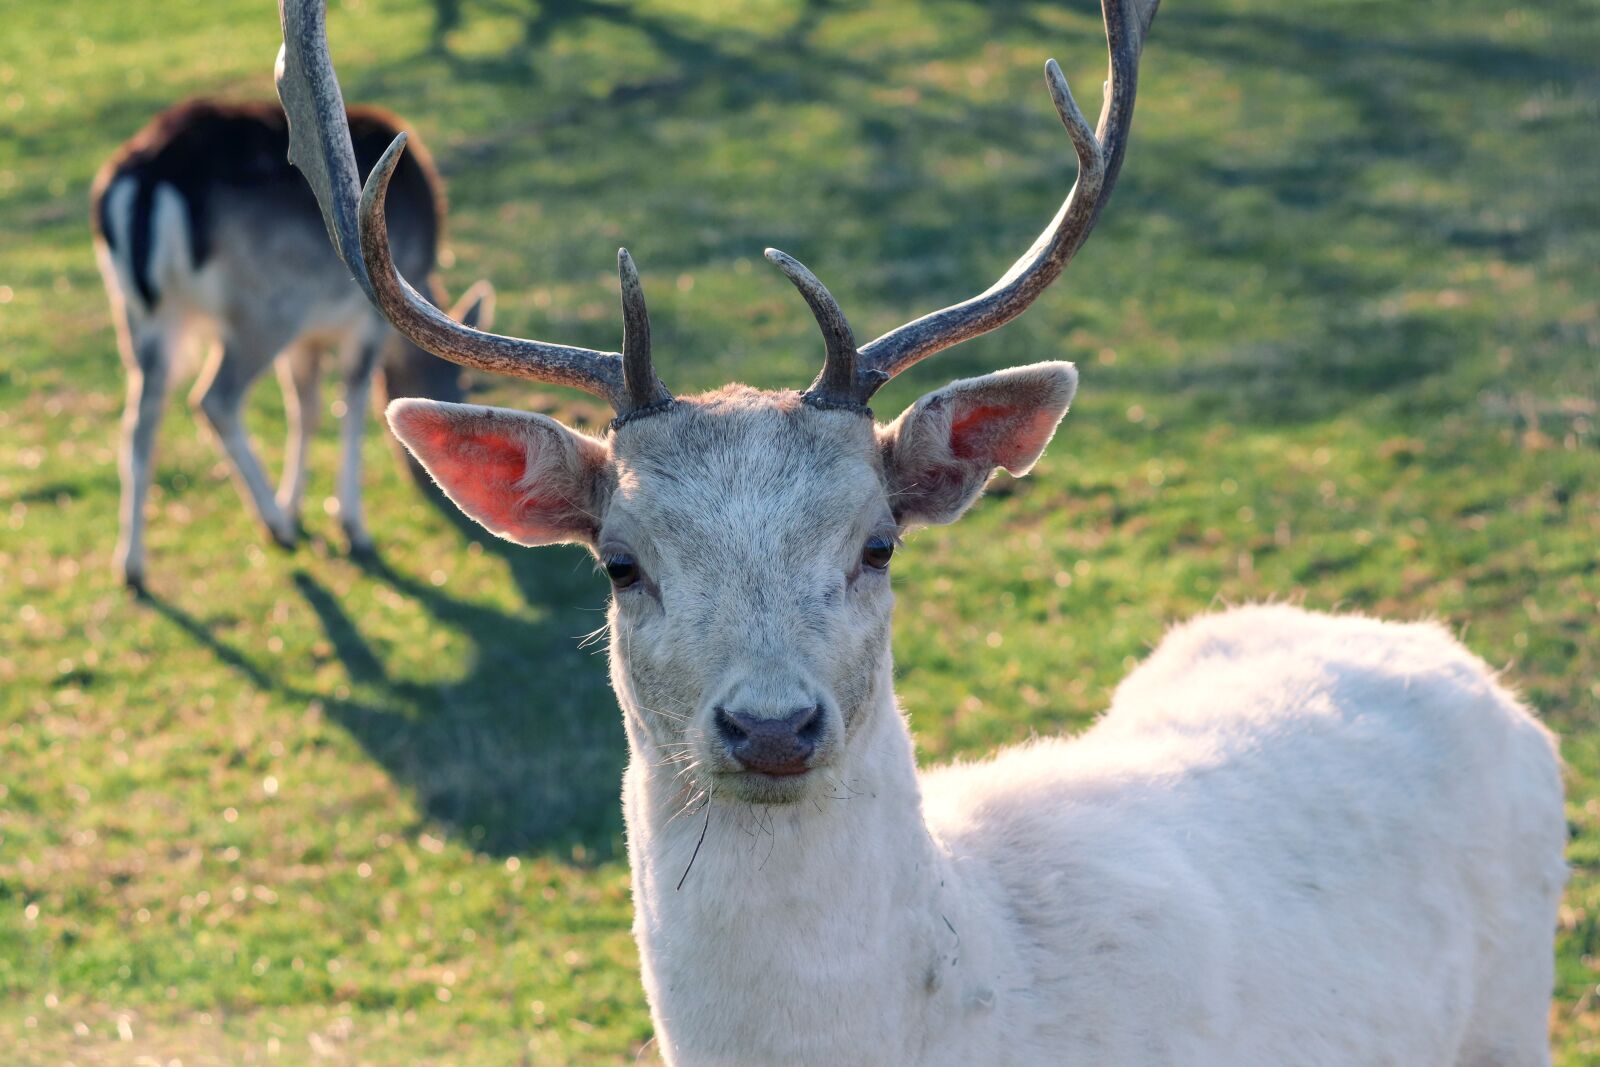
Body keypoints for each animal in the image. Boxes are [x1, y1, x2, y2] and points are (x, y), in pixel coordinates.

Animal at [91, 98, 494, 591]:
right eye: (465, 384)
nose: (427, 478)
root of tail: (151, 177)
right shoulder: (365, 322)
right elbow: (353, 406)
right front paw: (351, 527)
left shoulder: (306, 337)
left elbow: (306, 409)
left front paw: (297, 505)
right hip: (266, 311)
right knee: (214, 399)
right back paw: (274, 526)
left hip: (139, 315)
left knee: (139, 422)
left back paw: (131, 565)